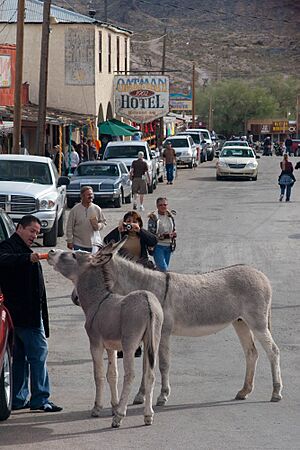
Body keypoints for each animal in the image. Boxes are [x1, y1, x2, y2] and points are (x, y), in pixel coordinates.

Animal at [47, 248, 163, 428]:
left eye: (74, 255)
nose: (51, 251)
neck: (98, 299)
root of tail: (147, 301)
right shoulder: (111, 347)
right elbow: (112, 374)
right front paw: (114, 406)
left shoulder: (95, 344)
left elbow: (99, 374)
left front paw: (98, 408)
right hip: (153, 341)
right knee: (150, 374)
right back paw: (148, 415)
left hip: (129, 344)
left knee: (130, 375)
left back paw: (119, 417)